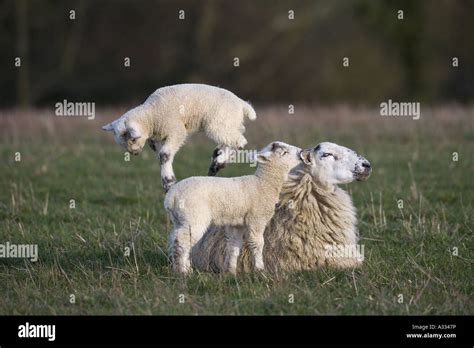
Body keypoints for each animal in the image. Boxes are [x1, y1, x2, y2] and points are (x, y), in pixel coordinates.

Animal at [101, 83, 256, 192]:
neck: (152, 115)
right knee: (234, 138)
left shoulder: (176, 130)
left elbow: (164, 155)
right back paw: (217, 160)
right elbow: (161, 156)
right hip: (230, 123)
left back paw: (219, 162)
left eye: (133, 139)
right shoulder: (158, 139)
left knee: (240, 141)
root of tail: (242, 104)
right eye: (122, 144)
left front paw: (168, 183)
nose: (134, 153)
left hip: (218, 123)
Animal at [165, 140, 302, 274]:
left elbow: (233, 245)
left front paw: (231, 271)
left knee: (174, 239)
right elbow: (258, 244)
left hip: (179, 219)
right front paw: (260, 269)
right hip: (194, 217)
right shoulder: (256, 219)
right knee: (181, 241)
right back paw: (183, 272)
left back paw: (183, 268)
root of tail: (172, 196)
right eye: (284, 152)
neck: (264, 183)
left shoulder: (237, 223)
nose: (301, 152)